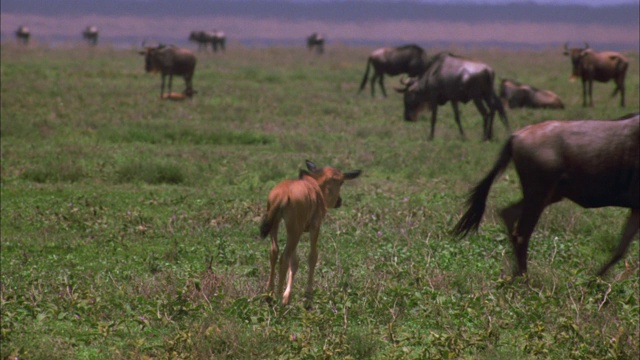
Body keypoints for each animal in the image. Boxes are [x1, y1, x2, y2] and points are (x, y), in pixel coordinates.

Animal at [258, 160, 360, 304]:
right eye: (341, 182)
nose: (339, 201)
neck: (316, 186)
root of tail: (283, 194)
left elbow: (295, 262)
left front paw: (287, 296)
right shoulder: (315, 226)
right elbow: (312, 257)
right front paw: (308, 295)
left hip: (278, 225)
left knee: (274, 252)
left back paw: (269, 294)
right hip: (295, 229)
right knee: (284, 257)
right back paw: (277, 296)